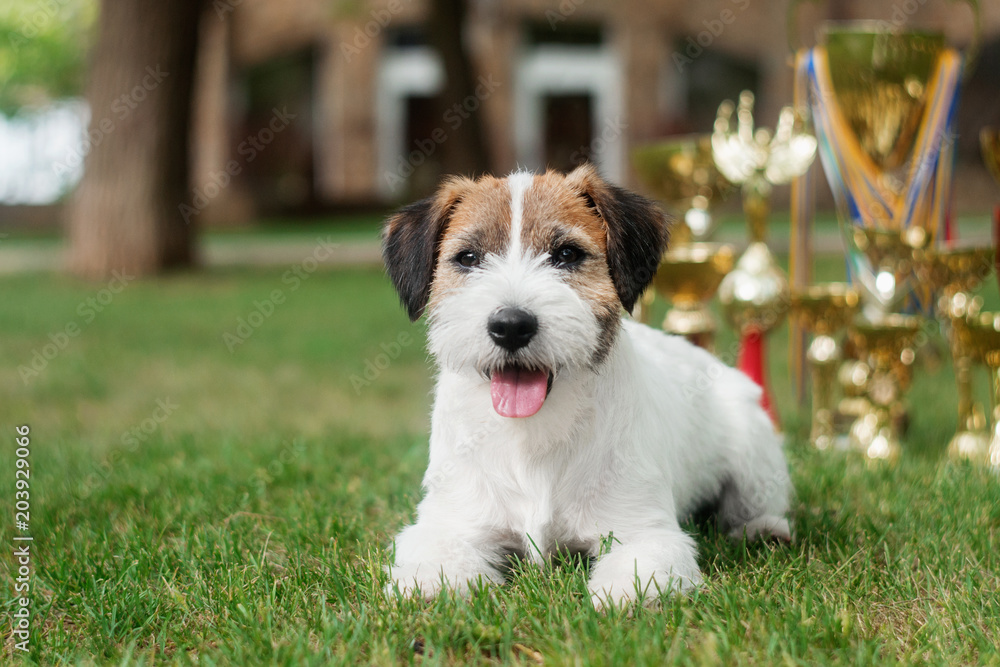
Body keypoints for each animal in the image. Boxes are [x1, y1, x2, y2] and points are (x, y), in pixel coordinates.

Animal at [378, 164, 792, 608]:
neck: (532, 433)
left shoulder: (644, 531)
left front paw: (616, 598)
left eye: (567, 254)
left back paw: (764, 529)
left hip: (752, 453)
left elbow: (634, 573)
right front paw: (432, 588)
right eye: (468, 258)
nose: (511, 326)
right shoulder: (448, 523)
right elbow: (437, 567)